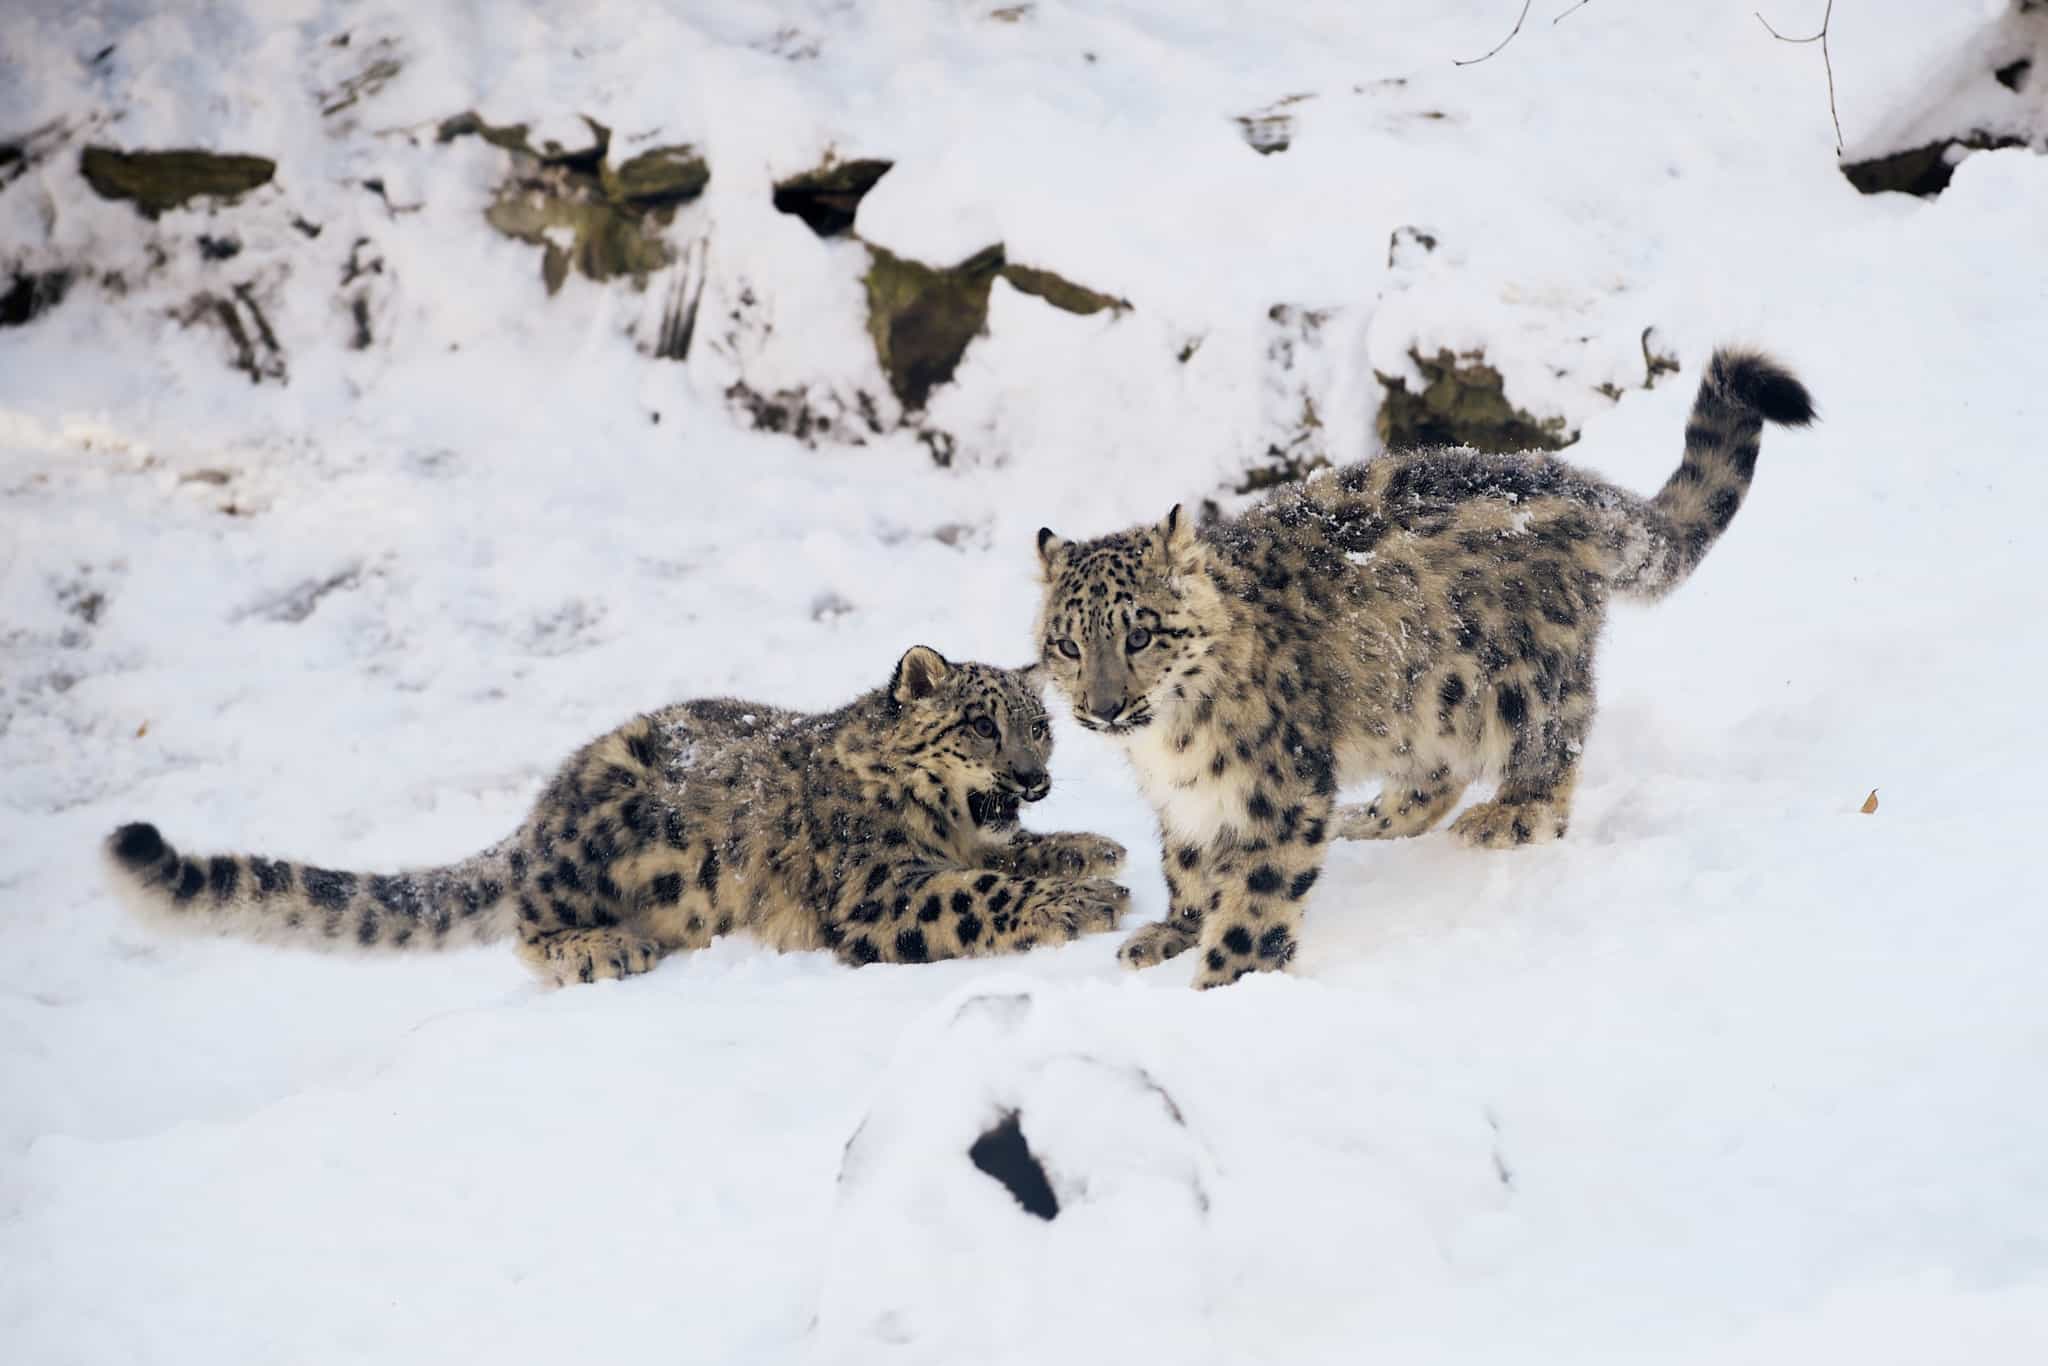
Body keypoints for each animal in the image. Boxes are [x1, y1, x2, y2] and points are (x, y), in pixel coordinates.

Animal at [104, 646, 1129, 985]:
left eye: (1040, 727)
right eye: (980, 725)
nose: (1034, 779)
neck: (942, 826)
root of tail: (537, 816)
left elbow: (1014, 856)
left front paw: (1091, 850)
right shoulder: (873, 882)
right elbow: (972, 893)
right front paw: (1083, 903)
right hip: (604, 855)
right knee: (529, 930)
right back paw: (604, 948)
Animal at [1032, 347, 1815, 988]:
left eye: (1140, 635)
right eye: (1068, 645)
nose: (1103, 707)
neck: (1167, 743)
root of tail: (1564, 480)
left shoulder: (1278, 791)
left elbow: (1258, 896)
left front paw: (1224, 982)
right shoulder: (1186, 801)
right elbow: (1188, 862)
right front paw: (1172, 932)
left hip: (1522, 680)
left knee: (1551, 754)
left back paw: (1507, 817)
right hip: (1420, 695)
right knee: (1437, 772)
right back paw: (1368, 816)